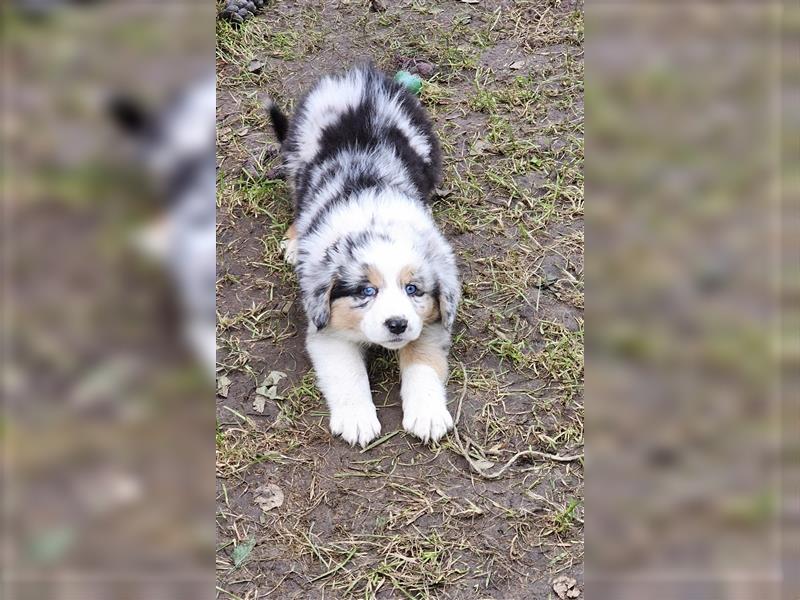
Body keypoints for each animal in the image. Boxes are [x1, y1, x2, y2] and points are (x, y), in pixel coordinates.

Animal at [268, 67, 460, 450]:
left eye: (413, 289)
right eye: (365, 291)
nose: (397, 324)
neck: (375, 217)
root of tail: (360, 77)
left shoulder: (430, 321)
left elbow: (423, 363)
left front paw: (428, 415)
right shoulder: (326, 330)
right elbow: (348, 373)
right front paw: (357, 419)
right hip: (298, 158)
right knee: (297, 200)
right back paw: (295, 242)